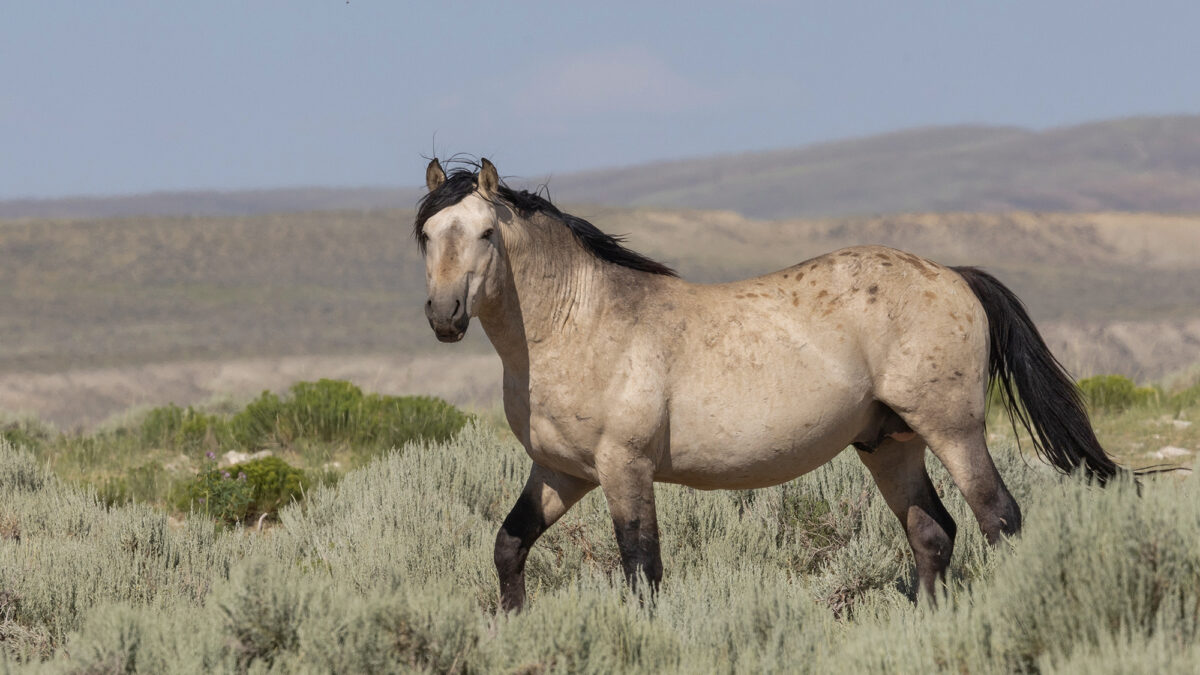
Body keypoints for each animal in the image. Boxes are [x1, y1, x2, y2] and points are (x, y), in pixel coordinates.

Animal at [417, 157, 1118, 610]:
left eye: (485, 233)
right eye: (426, 235)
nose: (445, 315)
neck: (580, 323)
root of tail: (952, 275)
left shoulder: (625, 468)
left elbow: (642, 571)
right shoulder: (562, 472)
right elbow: (509, 547)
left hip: (953, 431)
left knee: (999, 518)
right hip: (890, 445)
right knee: (933, 533)